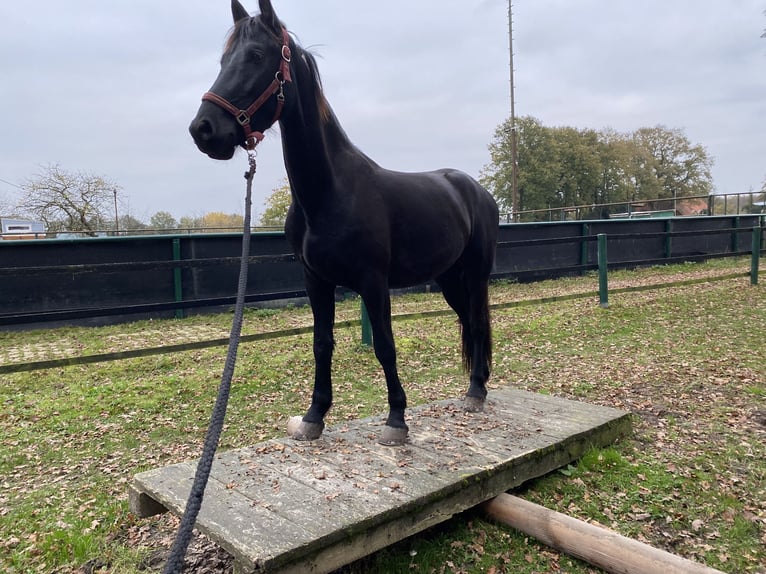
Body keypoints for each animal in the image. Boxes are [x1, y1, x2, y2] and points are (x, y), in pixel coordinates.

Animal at [188, 0, 498, 448]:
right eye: (223, 60)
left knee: (475, 321)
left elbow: (385, 345)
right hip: (448, 278)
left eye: (256, 56)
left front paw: (396, 419)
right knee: (469, 324)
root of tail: (476, 191)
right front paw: (314, 416)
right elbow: (322, 343)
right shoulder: (316, 280)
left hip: (474, 274)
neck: (329, 193)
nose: (204, 129)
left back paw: (475, 391)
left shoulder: (373, 282)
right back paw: (477, 386)